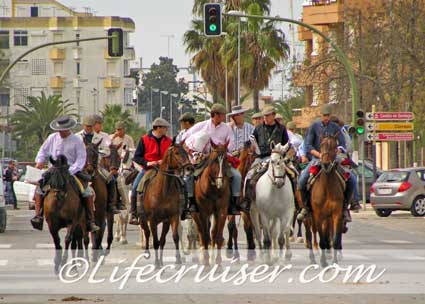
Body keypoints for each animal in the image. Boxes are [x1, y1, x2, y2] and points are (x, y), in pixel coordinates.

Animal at [308, 135, 344, 266]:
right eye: (321, 145)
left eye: (334, 146)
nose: (326, 164)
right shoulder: (318, 215)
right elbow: (322, 239)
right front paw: (323, 262)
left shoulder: (336, 214)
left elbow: (335, 239)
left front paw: (334, 261)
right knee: (310, 233)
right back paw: (313, 257)